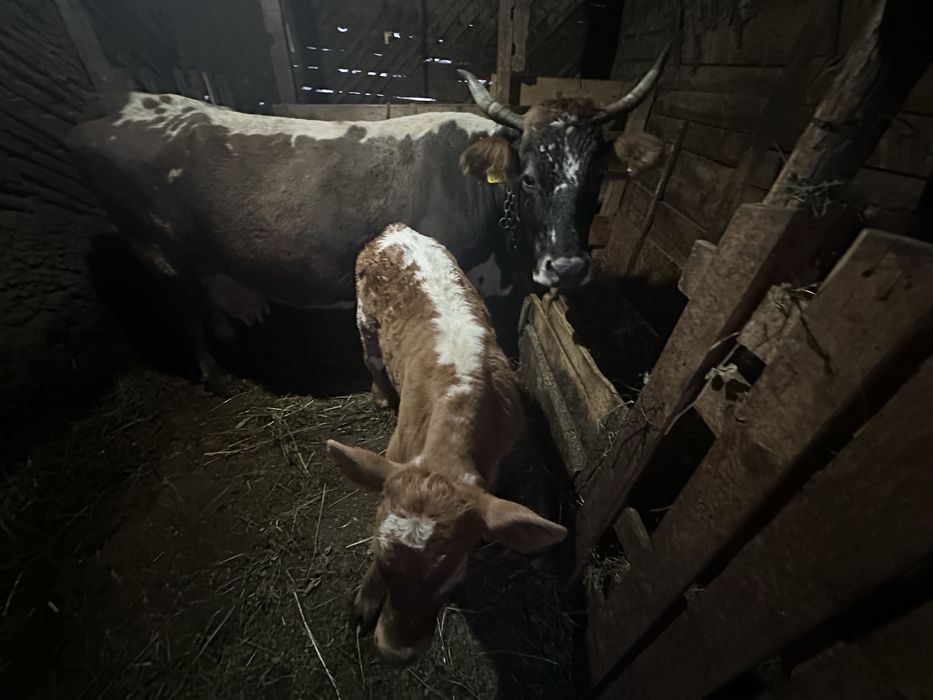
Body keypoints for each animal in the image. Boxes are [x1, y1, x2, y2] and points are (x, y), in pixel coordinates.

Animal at [67, 47, 669, 392]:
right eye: (528, 178)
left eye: (598, 176)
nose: (566, 267)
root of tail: (122, 103)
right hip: (155, 252)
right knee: (181, 312)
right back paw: (217, 377)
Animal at [326, 223, 567, 665]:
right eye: (380, 561)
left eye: (452, 578)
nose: (395, 651)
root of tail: (395, 229)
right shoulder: (396, 455)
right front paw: (365, 603)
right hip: (364, 317)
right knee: (371, 357)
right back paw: (380, 394)